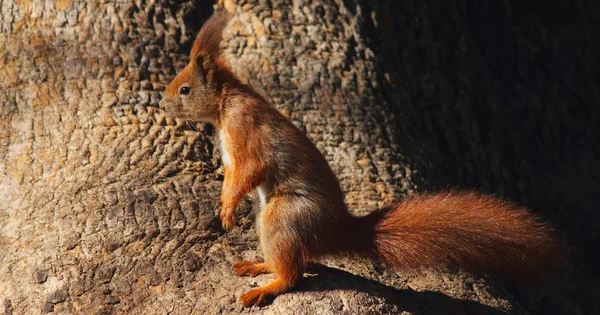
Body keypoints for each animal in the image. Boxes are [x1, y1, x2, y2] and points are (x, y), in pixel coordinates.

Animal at [158, 9, 564, 308]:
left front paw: (227, 208)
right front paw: (224, 202)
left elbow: (248, 172)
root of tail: (337, 230)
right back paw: (260, 265)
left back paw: (268, 286)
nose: (162, 104)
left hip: (284, 215)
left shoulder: (247, 132)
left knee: (294, 273)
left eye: (185, 89)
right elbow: (231, 175)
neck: (225, 106)